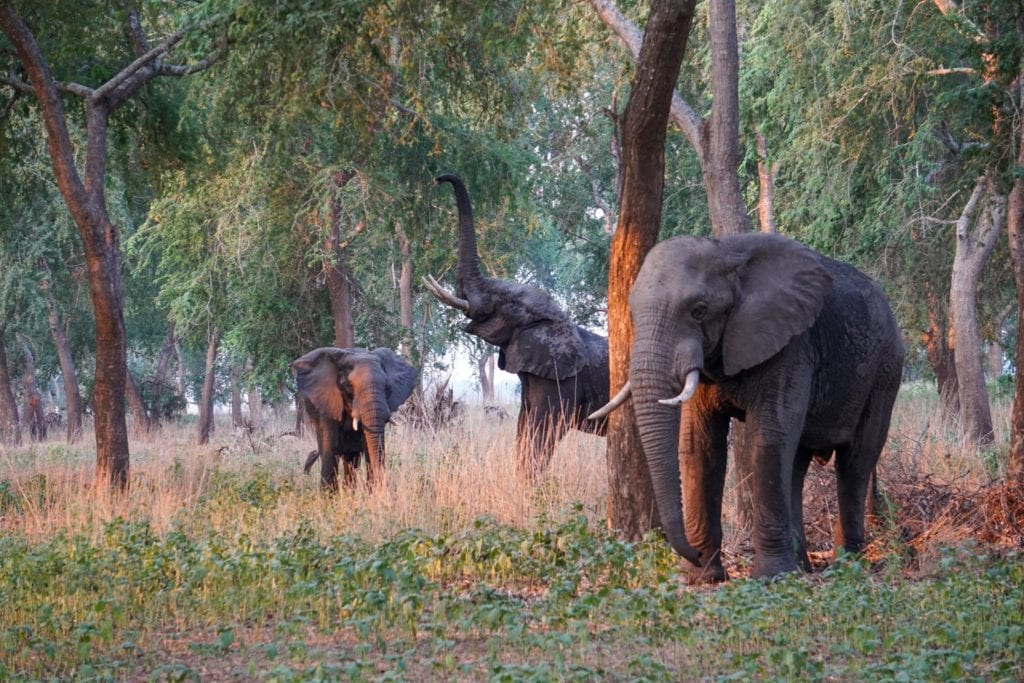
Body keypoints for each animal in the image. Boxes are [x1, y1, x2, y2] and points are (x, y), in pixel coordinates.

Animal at [290, 348, 417, 491]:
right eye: (349, 386)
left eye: (386, 387)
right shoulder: (327, 401)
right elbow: (330, 449)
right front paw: (328, 495)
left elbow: (367, 446)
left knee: (352, 458)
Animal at [423, 174, 606, 479]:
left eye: (504, 302)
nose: (439, 179)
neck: (557, 321)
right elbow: (523, 428)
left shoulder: (563, 380)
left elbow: (544, 430)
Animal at [593, 235, 905, 581]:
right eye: (633, 313)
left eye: (699, 311)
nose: (691, 553)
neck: (728, 253)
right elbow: (700, 447)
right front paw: (702, 577)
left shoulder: (791, 345)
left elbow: (767, 440)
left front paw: (769, 578)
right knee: (797, 464)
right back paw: (802, 567)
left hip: (886, 370)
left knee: (855, 460)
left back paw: (845, 566)